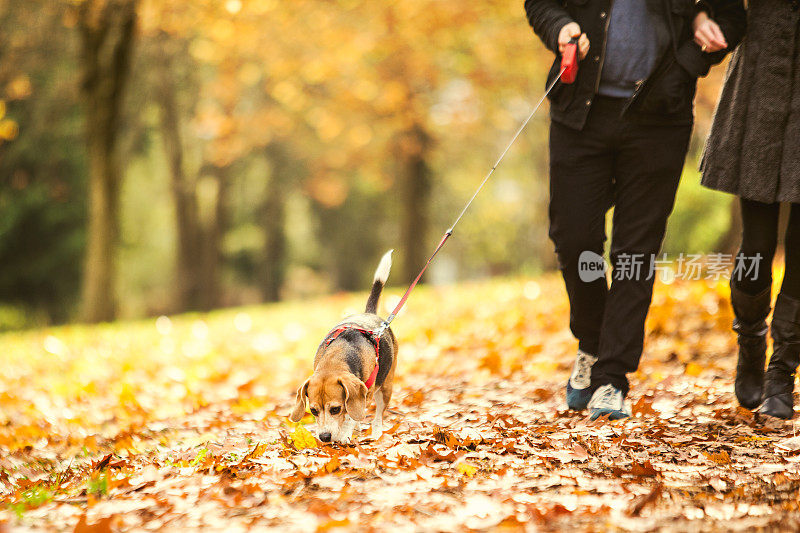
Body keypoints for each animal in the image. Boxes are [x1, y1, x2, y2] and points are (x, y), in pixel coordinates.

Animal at [290, 251, 398, 442]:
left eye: (335, 409)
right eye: (313, 411)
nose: (324, 437)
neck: (337, 356)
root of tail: (369, 314)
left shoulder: (365, 394)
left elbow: (350, 416)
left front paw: (344, 434)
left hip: (385, 387)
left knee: (378, 416)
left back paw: (376, 434)